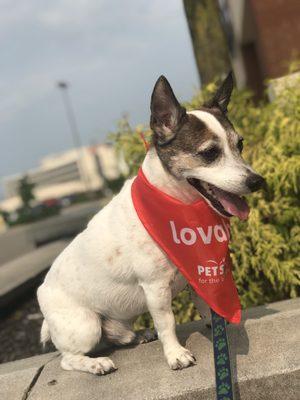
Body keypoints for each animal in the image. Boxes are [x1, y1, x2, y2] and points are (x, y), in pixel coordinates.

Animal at [37, 74, 264, 376]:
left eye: (240, 145)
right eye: (209, 153)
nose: (257, 181)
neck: (176, 203)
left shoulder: (194, 276)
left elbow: (205, 303)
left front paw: (217, 325)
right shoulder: (155, 288)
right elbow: (167, 322)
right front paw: (175, 354)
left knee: (117, 337)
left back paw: (138, 335)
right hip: (85, 326)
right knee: (68, 358)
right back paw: (96, 363)